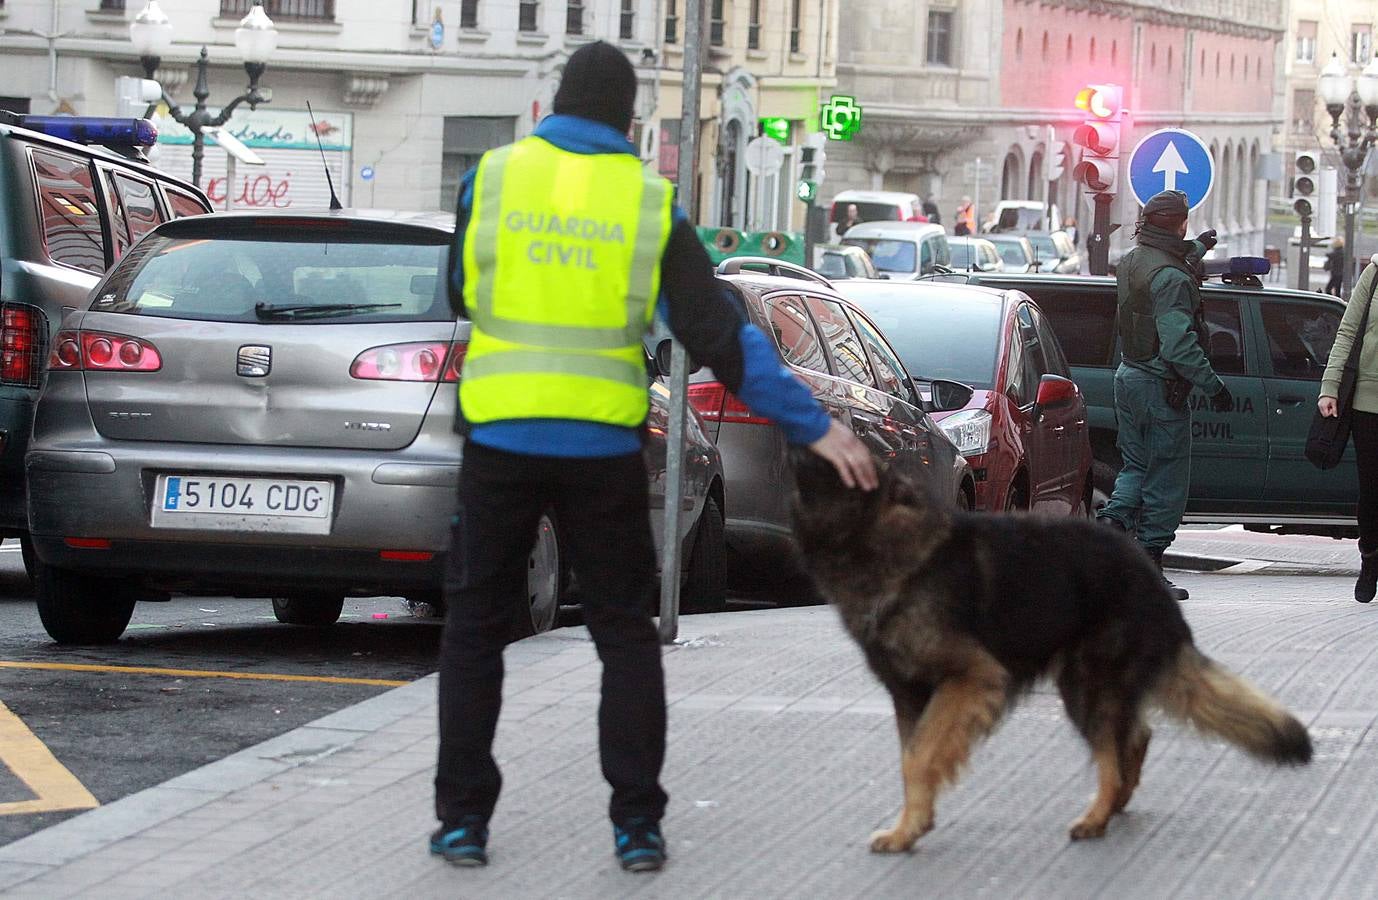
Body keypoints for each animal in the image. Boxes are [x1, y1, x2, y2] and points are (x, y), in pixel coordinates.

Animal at [793, 457, 1306, 849]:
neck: (890, 542)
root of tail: (1150, 576)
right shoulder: (909, 696)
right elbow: (911, 761)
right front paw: (910, 828)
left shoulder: (969, 677)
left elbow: (920, 757)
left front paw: (911, 827)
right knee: (1133, 740)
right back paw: (1114, 806)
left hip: (1085, 685)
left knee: (1112, 755)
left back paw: (1096, 817)